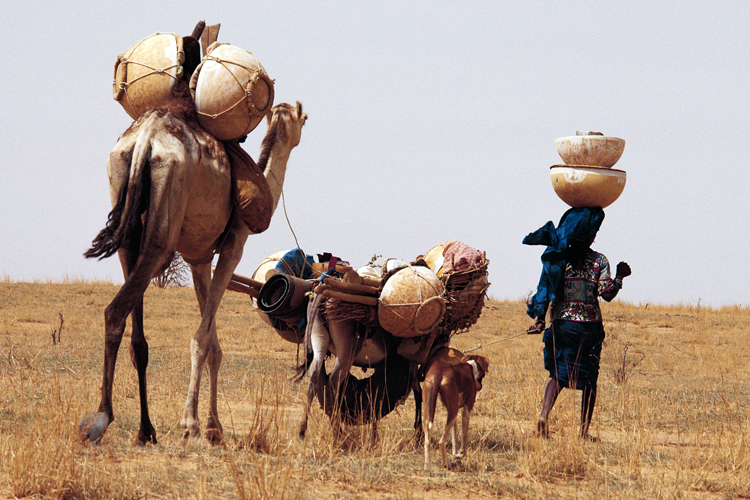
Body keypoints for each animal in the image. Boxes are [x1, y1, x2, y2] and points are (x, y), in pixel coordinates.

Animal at [81, 99, 306, 444]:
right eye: (302, 118)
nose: (305, 122)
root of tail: (145, 139)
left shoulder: (198, 259)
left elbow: (213, 343)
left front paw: (213, 426)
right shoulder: (234, 244)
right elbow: (203, 338)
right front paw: (194, 425)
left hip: (124, 215)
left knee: (132, 328)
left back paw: (145, 430)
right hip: (167, 209)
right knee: (117, 308)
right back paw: (103, 418)